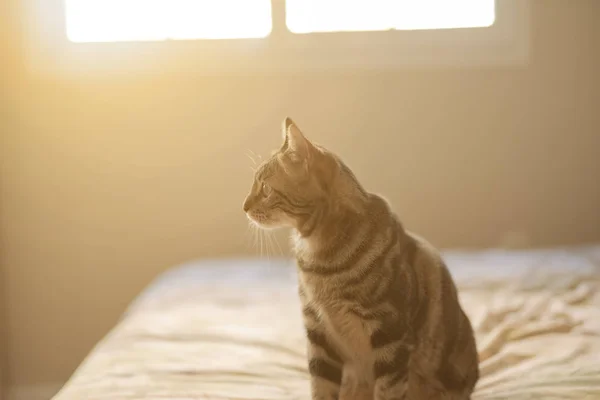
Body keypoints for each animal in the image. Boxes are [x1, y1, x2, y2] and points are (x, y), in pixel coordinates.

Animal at [241, 117, 480, 398]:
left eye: (266, 188)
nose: (243, 206)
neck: (318, 254)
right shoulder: (317, 330)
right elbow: (321, 386)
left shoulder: (389, 332)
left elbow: (388, 389)